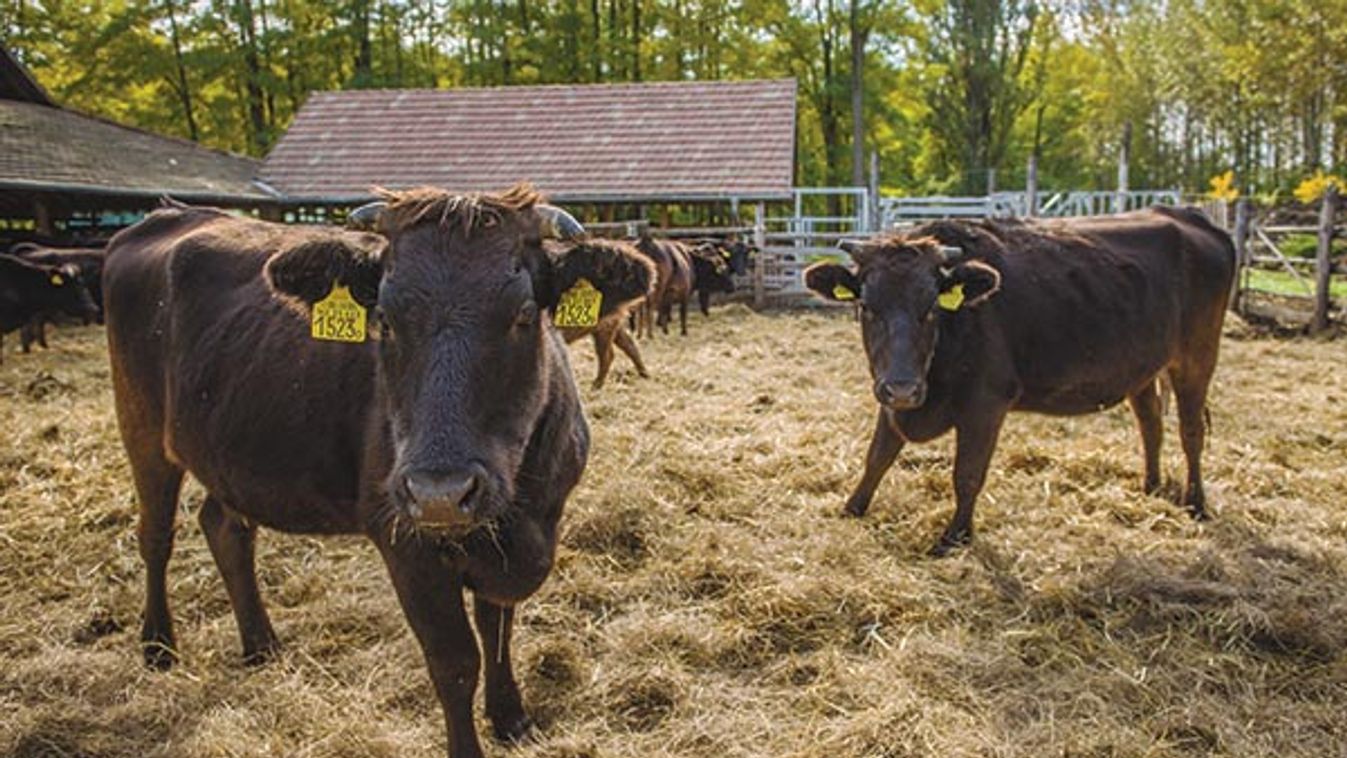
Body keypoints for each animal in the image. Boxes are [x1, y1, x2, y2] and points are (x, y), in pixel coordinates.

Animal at [103, 185, 651, 758]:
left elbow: (497, 628)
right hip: (141, 429)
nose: (439, 493)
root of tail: (169, 214)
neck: (520, 512)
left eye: (524, 315)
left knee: (225, 528)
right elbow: (455, 661)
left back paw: (261, 645)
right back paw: (159, 645)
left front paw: (512, 719)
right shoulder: (404, 543)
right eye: (384, 318)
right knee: (156, 536)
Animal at [802, 207, 1233, 557]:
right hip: (1142, 368)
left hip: (1196, 358)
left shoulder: (985, 404)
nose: (904, 387)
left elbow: (967, 474)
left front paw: (955, 536)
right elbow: (877, 457)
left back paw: (1196, 502)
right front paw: (852, 507)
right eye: (866, 306)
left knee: (1191, 432)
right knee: (1151, 426)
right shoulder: (891, 398)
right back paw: (1151, 487)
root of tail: (1189, 216)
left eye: (931, 307)